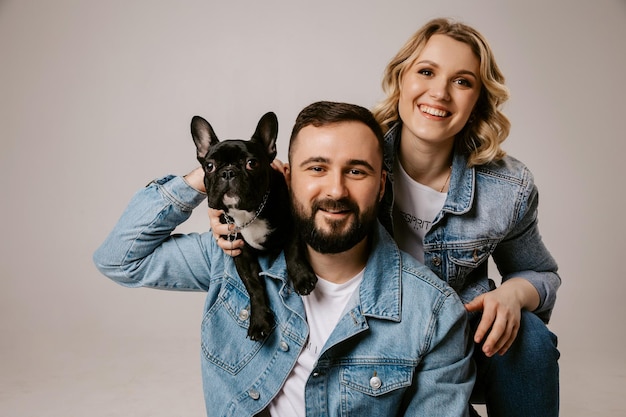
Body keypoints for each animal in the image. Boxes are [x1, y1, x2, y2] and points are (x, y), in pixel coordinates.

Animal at [190, 112, 316, 340]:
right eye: (210, 166)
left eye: (252, 163)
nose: (228, 172)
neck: (249, 214)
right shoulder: (240, 252)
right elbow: (253, 285)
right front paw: (259, 321)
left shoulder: (292, 226)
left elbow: (293, 252)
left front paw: (302, 278)